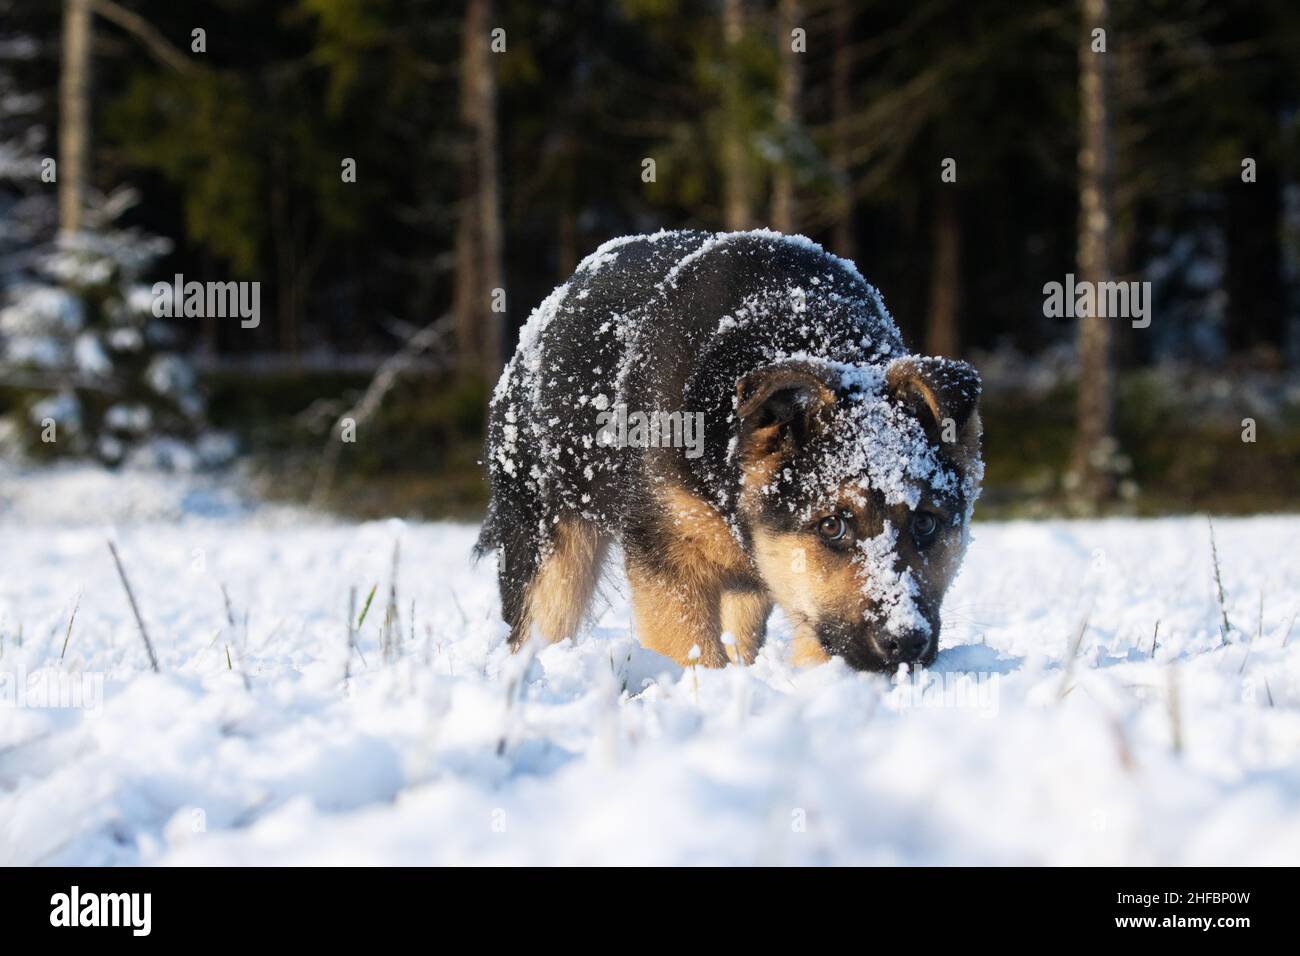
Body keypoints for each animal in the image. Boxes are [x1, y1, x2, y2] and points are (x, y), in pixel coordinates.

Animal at [480, 230, 982, 671]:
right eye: (832, 525)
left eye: (925, 523)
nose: (904, 642)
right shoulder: (669, 560)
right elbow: (691, 650)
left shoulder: (787, 578)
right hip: (550, 556)